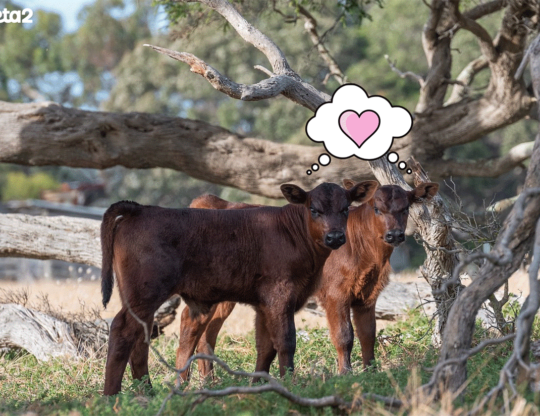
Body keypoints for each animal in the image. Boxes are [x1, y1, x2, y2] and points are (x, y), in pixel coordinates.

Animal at [102, 180, 380, 394]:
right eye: (314, 209)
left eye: (345, 208)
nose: (335, 236)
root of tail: (141, 209)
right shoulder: (280, 296)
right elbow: (286, 341)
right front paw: (290, 384)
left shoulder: (264, 304)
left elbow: (265, 347)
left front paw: (259, 386)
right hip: (145, 292)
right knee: (122, 330)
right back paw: (112, 396)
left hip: (142, 298)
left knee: (141, 336)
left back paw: (146, 391)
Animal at [186, 180, 438, 376]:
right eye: (377, 208)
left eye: (405, 209)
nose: (394, 235)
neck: (369, 255)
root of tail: (215, 202)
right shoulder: (336, 293)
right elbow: (344, 335)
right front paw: (346, 374)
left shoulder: (367, 296)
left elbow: (368, 335)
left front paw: (372, 373)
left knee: (207, 333)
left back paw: (209, 381)